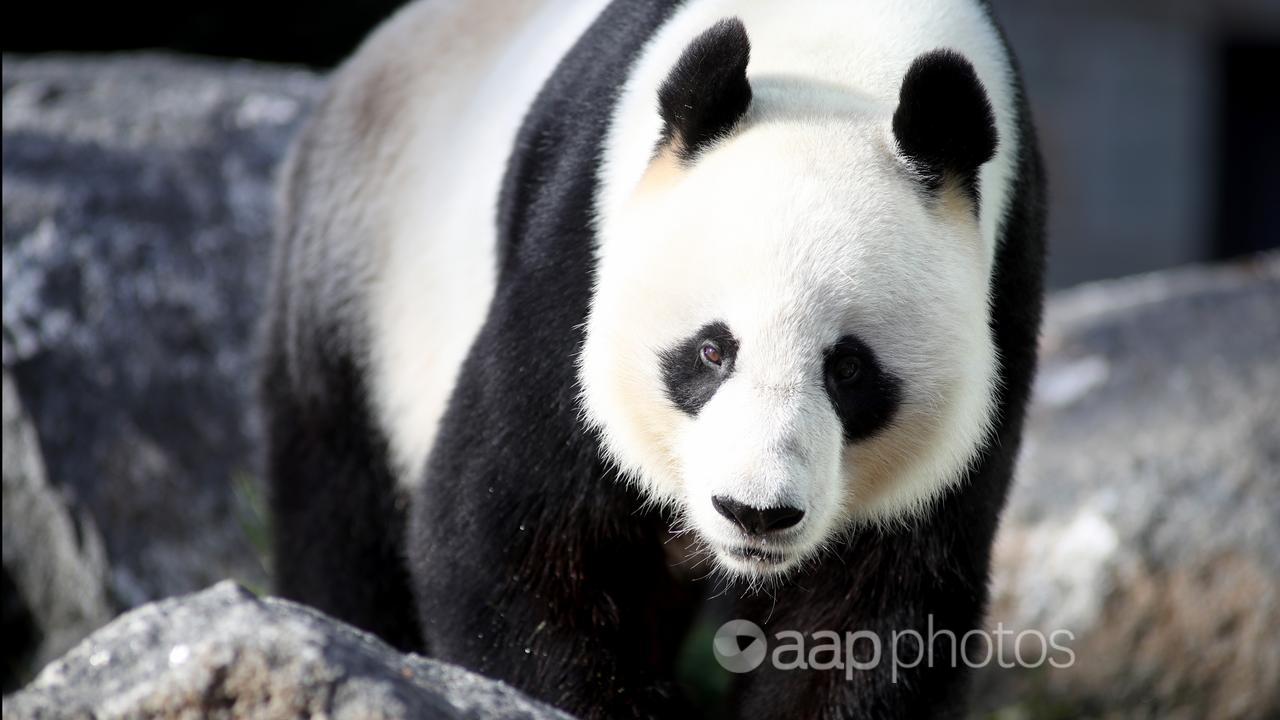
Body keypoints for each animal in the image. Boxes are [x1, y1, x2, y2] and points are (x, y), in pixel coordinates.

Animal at [257, 0, 1039, 712]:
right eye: (712, 351)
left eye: (847, 369)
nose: (755, 513)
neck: (844, 66)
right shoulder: (581, 255)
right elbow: (505, 538)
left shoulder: (1003, 296)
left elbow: (880, 611)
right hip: (360, 290)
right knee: (342, 524)